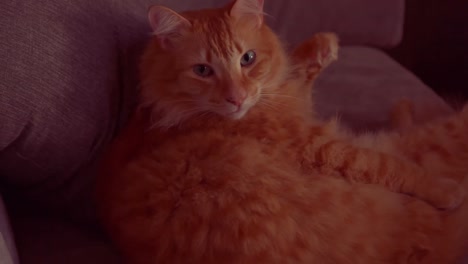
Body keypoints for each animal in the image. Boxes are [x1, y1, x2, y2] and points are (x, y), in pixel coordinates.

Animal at [96, 1, 468, 262]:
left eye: (248, 59)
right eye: (202, 70)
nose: (237, 98)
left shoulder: (288, 105)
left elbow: (292, 72)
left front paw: (320, 46)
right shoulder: (315, 144)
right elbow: (391, 168)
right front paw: (444, 190)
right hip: (434, 137)